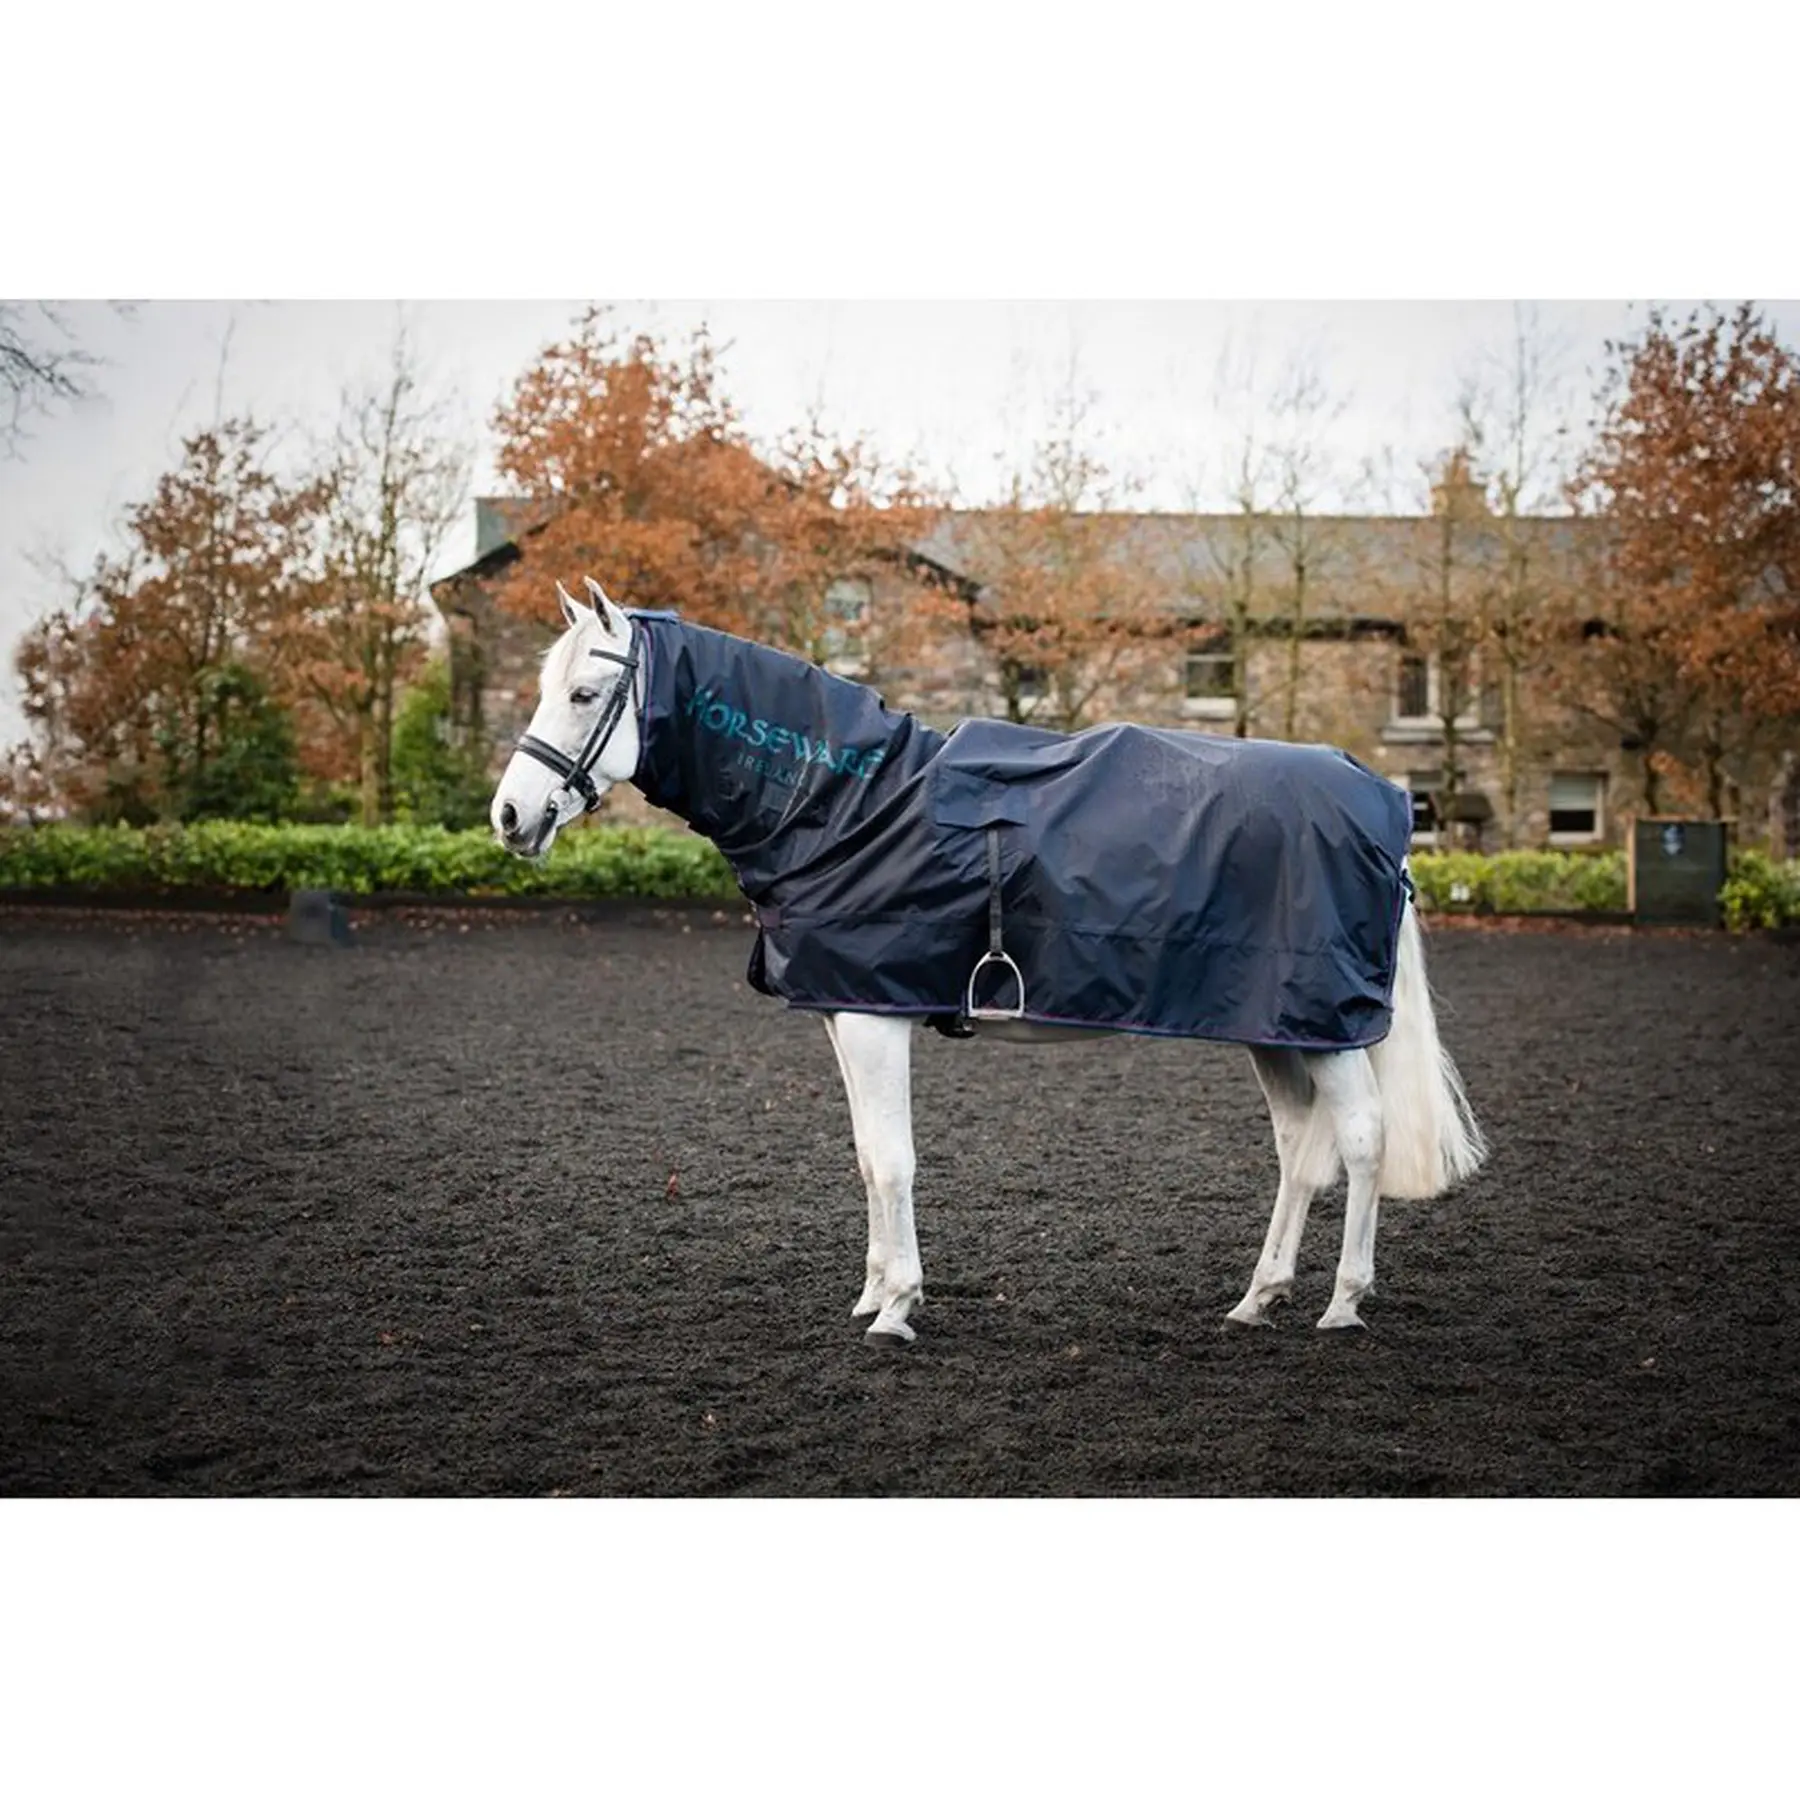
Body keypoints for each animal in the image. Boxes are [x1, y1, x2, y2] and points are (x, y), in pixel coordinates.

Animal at [491, 576, 1487, 1344]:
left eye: (583, 696)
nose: (508, 816)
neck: (850, 801)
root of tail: (1379, 801)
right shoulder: (845, 1012)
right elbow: (866, 1158)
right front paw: (872, 1295)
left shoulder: (875, 1016)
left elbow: (894, 1161)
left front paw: (898, 1309)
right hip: (1276, 1027)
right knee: (1298, 1151)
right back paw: (1258, 1298)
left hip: (1328, 1028)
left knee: (1361, 1140)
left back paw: (1342, 1304)